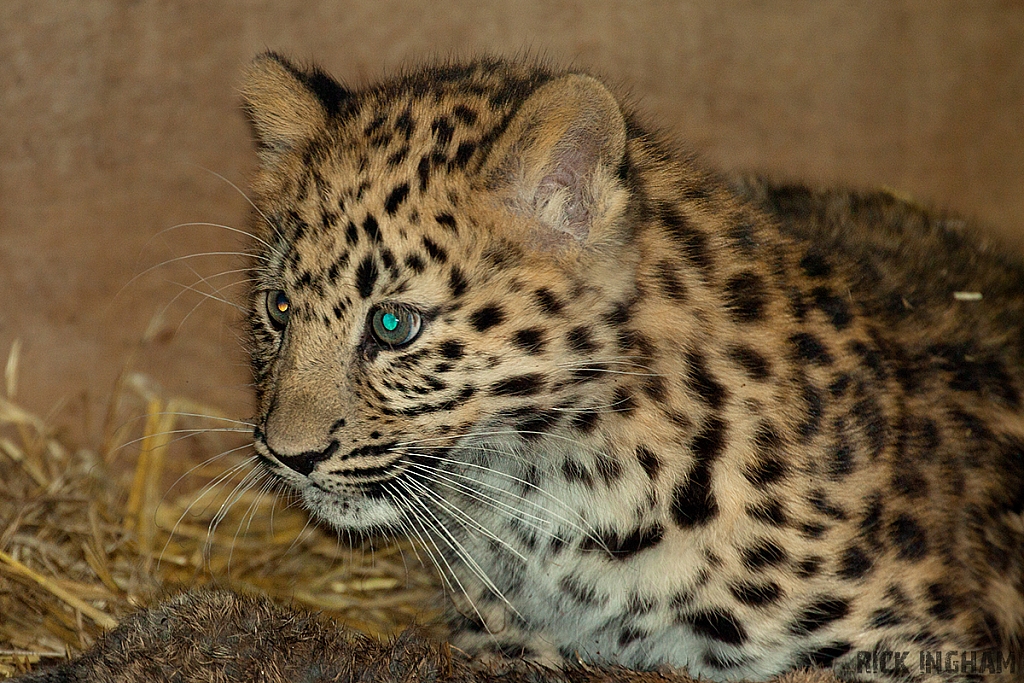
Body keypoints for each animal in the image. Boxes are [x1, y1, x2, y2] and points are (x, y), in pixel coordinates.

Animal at [237, 54, 1024, 683]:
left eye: (393, 325)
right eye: (279, 308)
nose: (286, 455)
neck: (549, 492)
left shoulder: (915, 647)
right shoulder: (503, 633)